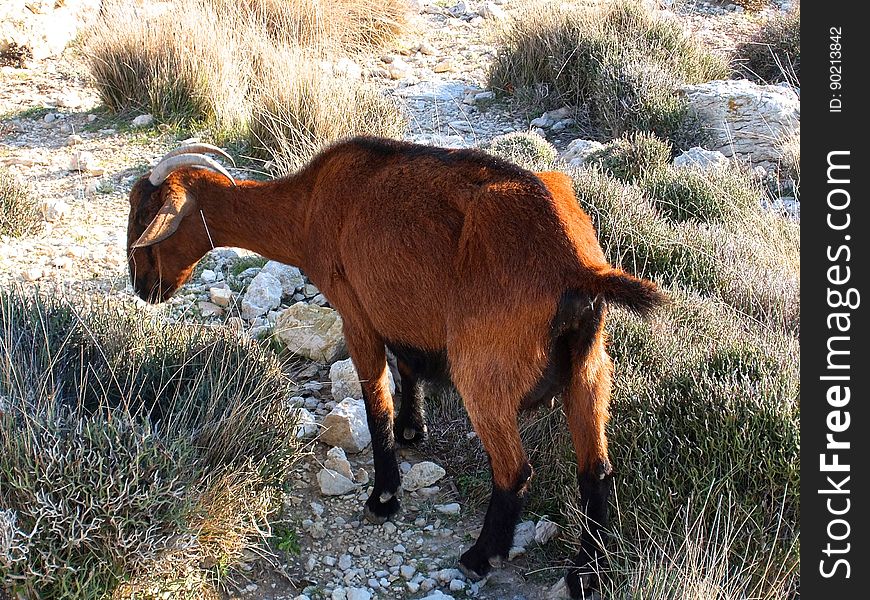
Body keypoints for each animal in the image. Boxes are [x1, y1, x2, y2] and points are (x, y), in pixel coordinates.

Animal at [126, 137, 664, 596]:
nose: (142, 286)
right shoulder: (398, 312)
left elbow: (374, 401)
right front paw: (412, 430)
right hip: (589, 369)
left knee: (514, 469)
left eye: (146, 215)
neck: (308, 204)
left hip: (483, 370)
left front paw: (384, 496)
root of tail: (577, 266)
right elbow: (406, 366)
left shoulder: (356, 312)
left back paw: (480, 556)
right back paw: (584, 575)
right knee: (596, 471)